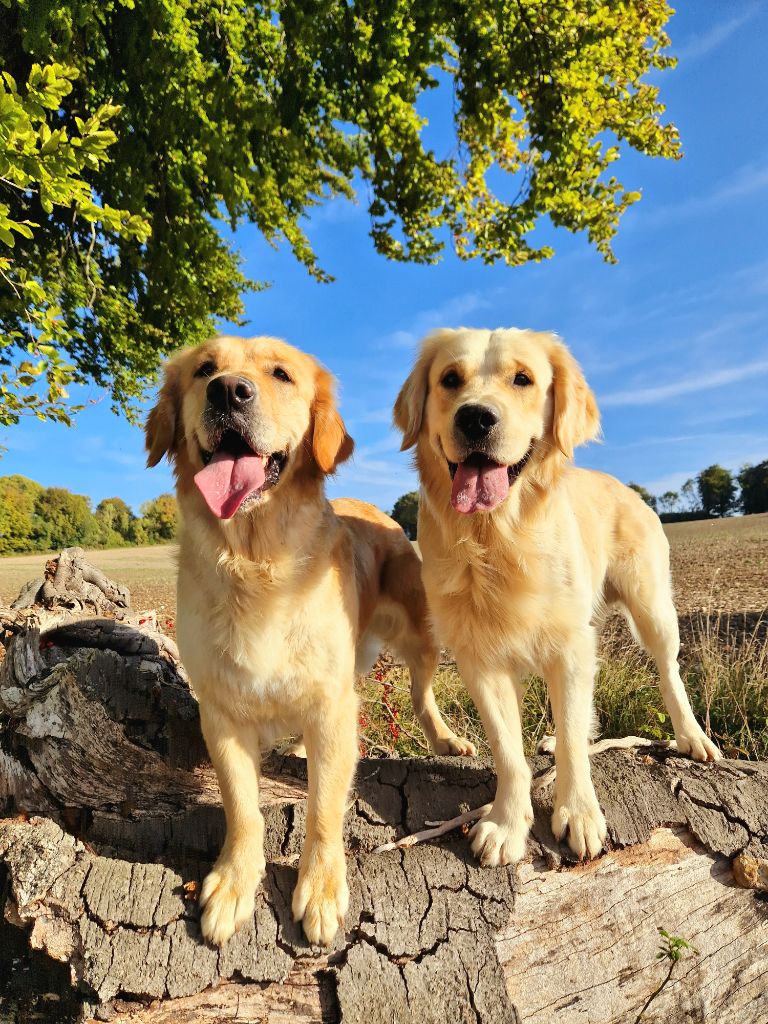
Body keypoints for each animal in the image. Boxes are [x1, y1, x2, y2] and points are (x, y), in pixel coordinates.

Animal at [143, 333, 468, 942]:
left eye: (281, 374)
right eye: (204, 369)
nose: (228, 391)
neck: (256, 560)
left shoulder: (333, 707)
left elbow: (323, 808)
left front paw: (319, 888)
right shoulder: (221, 712)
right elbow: (241, 808)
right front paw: (233, 883)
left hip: (421, 632)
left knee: (421, 692)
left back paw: (446, 740)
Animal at [397, 325, 720, 864]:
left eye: (523, 379)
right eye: (450, 379)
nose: (475, 417)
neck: (497, 538)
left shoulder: (570, 646)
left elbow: (572, 740)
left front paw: (579, 814)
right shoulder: (478, 657)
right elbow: (508, 751)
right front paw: (506, 824)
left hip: (653, 607)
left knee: (670, 672)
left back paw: (693, 737)